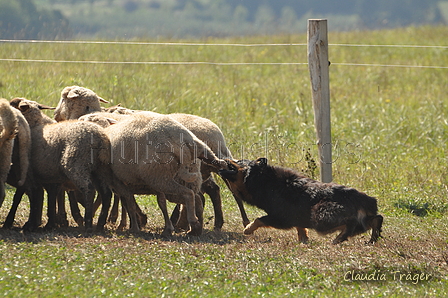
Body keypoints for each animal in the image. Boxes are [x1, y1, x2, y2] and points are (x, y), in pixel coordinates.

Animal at [219, 158, 384, 244]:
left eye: (239, 161)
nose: (223, 159)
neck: (264, 180)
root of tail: (365, 199)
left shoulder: (281, 218)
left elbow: (259, 219)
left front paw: (247, 229)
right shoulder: (296, 216)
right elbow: (301, 228)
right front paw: (303, 240)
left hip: (320, 216)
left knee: (351, 224)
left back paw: (339, 238)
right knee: (376, 219)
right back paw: (371, 238)